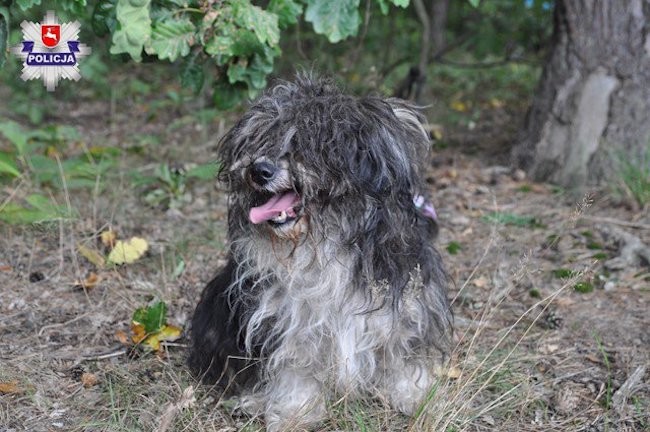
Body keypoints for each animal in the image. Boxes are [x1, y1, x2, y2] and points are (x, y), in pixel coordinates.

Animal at [187, 76, 450, 430]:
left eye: (310, 141)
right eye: (259, 137)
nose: (258, 170)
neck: (325, 245)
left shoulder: (408, 301)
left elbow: (403, 355)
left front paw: (417, 396)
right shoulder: (283, 318)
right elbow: (295, 368)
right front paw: (293, 414)